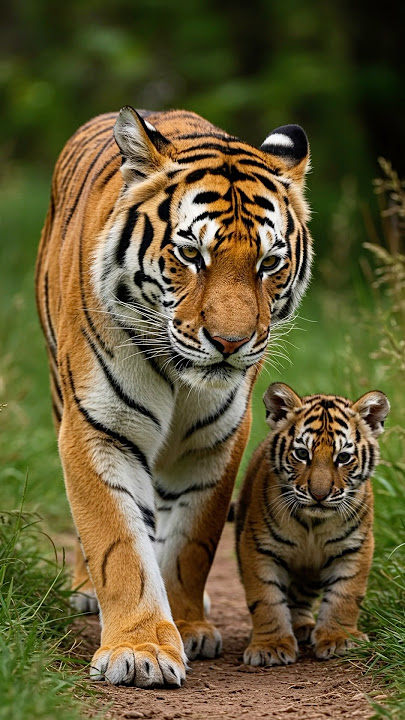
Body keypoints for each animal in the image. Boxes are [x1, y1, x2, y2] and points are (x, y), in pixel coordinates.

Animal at [35, 106, 313, 687]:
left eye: (269, 264)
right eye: (191, 254)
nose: (230, 342)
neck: (181, 377)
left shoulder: (217, 441)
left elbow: (191, 542)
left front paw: (186, 625)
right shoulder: (99, 429)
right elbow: (118, 542)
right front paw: (139, 649)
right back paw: (87, 592)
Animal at [236, 382, 389, 666]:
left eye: (343, 457)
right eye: (301, 453)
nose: (319, 494)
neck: (312, 524)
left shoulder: (355, 548)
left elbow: (344, 595)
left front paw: (340, 639)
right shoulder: (258, 547)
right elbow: (266, 598)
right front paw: (270, 646)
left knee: (300, 597)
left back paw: (303, 627)